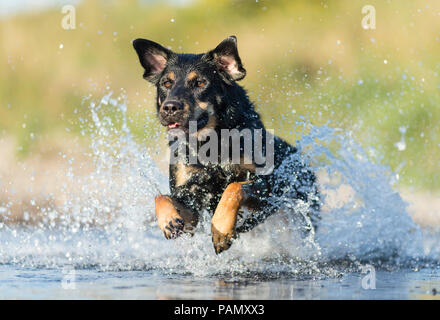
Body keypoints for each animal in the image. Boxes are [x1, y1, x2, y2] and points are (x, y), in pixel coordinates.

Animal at [131, 35, 320, 254]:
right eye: (166, 83)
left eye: (200, 82)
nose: (170, 107)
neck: (209, 145)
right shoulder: (190, 199)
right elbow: (161, 197)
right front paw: (168, 220)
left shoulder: (267, 186)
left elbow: (233, 187)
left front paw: (221, 229)